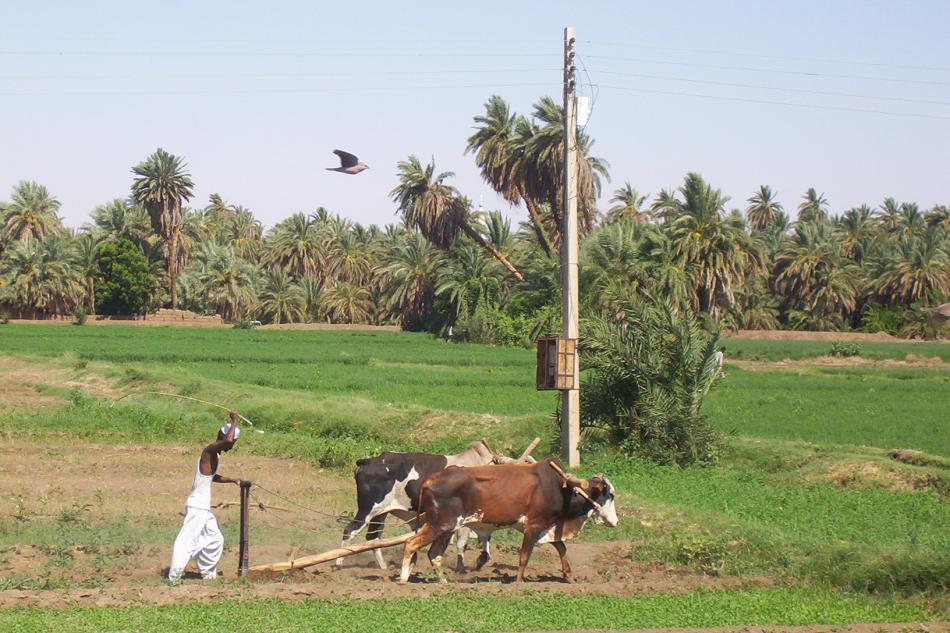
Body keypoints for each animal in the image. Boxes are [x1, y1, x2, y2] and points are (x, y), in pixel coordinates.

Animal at [338, 440, 494, 568]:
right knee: (349, 531)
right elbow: (462, 544)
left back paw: (384, 568)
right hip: (367, 510)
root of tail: (367, 462)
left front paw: (481, 560)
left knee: (373, 538)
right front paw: (461, 569)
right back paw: (338, 564)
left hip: (380, 513)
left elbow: (485, 538)